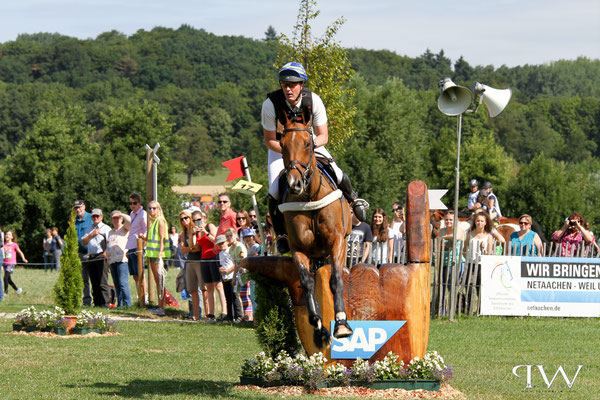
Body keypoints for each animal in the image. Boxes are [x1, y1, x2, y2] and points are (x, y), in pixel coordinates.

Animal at [278, 108, 354, 348]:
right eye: (282, 144)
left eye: (307, 144)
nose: (294, 184)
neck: (309, 195)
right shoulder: (299, 249)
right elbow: (307, 283)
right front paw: (318, 328)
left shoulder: (337, 241)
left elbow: (336, 279)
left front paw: (341, 324)